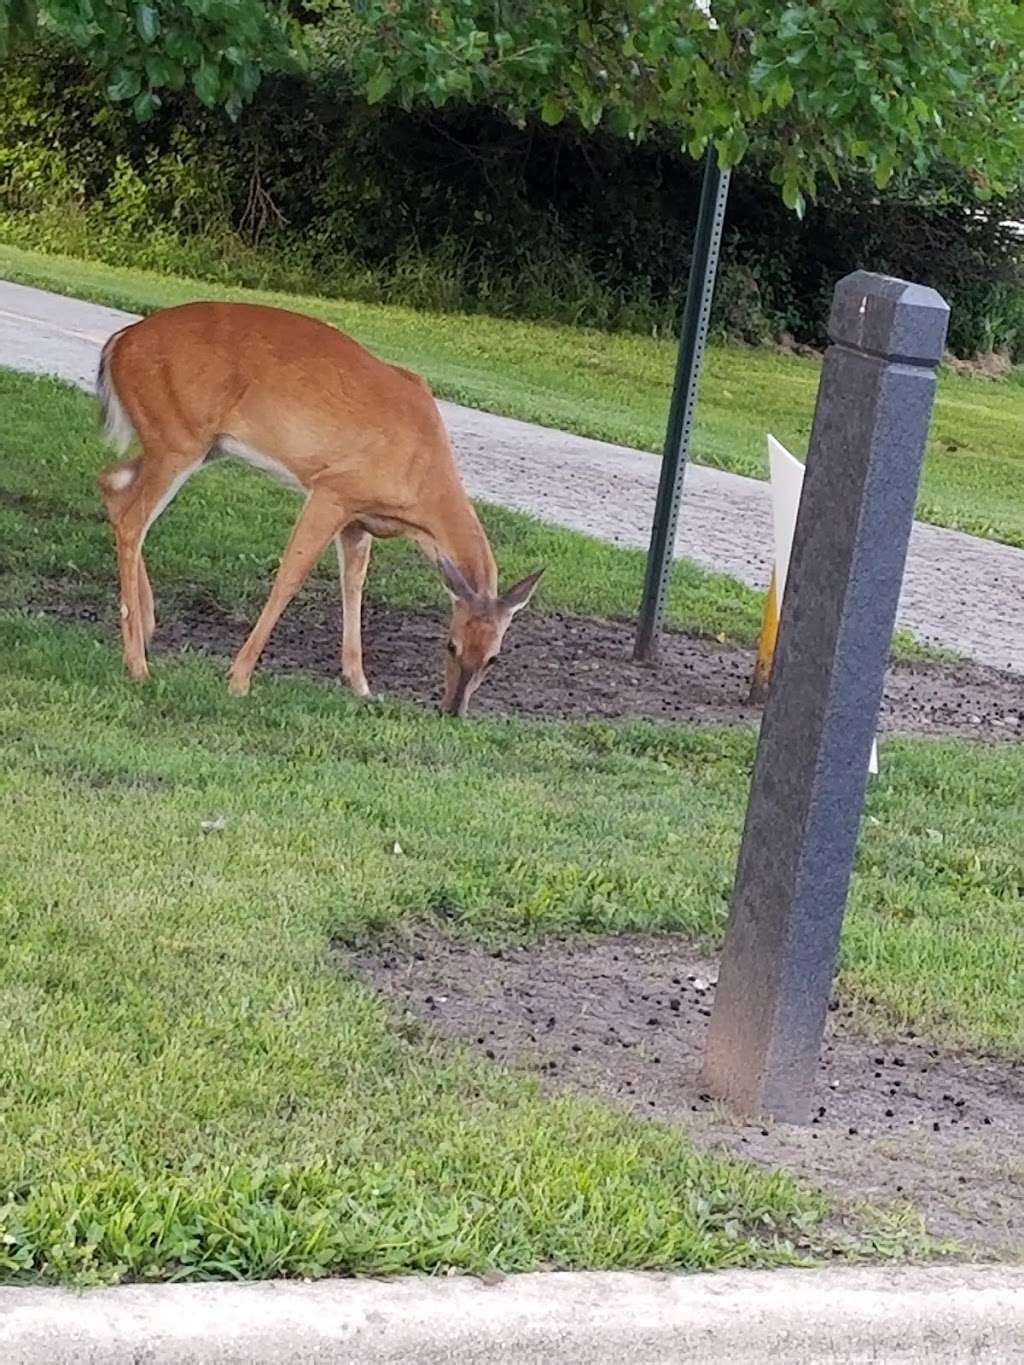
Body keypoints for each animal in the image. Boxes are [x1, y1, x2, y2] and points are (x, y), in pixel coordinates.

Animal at [96, 301, 546, 715]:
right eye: (450, 645)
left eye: (493, 658)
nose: (453, 710)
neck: (421, 483)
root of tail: (121, 341)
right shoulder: (332, 491)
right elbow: (291, 577)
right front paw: (239, 679)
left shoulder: (359, 519)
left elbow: (354, 585)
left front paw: (360, 684)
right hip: (179, 437)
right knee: (133, 518)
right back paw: (138, 664)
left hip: (194, 444)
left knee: (112, 484)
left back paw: (146, 626)